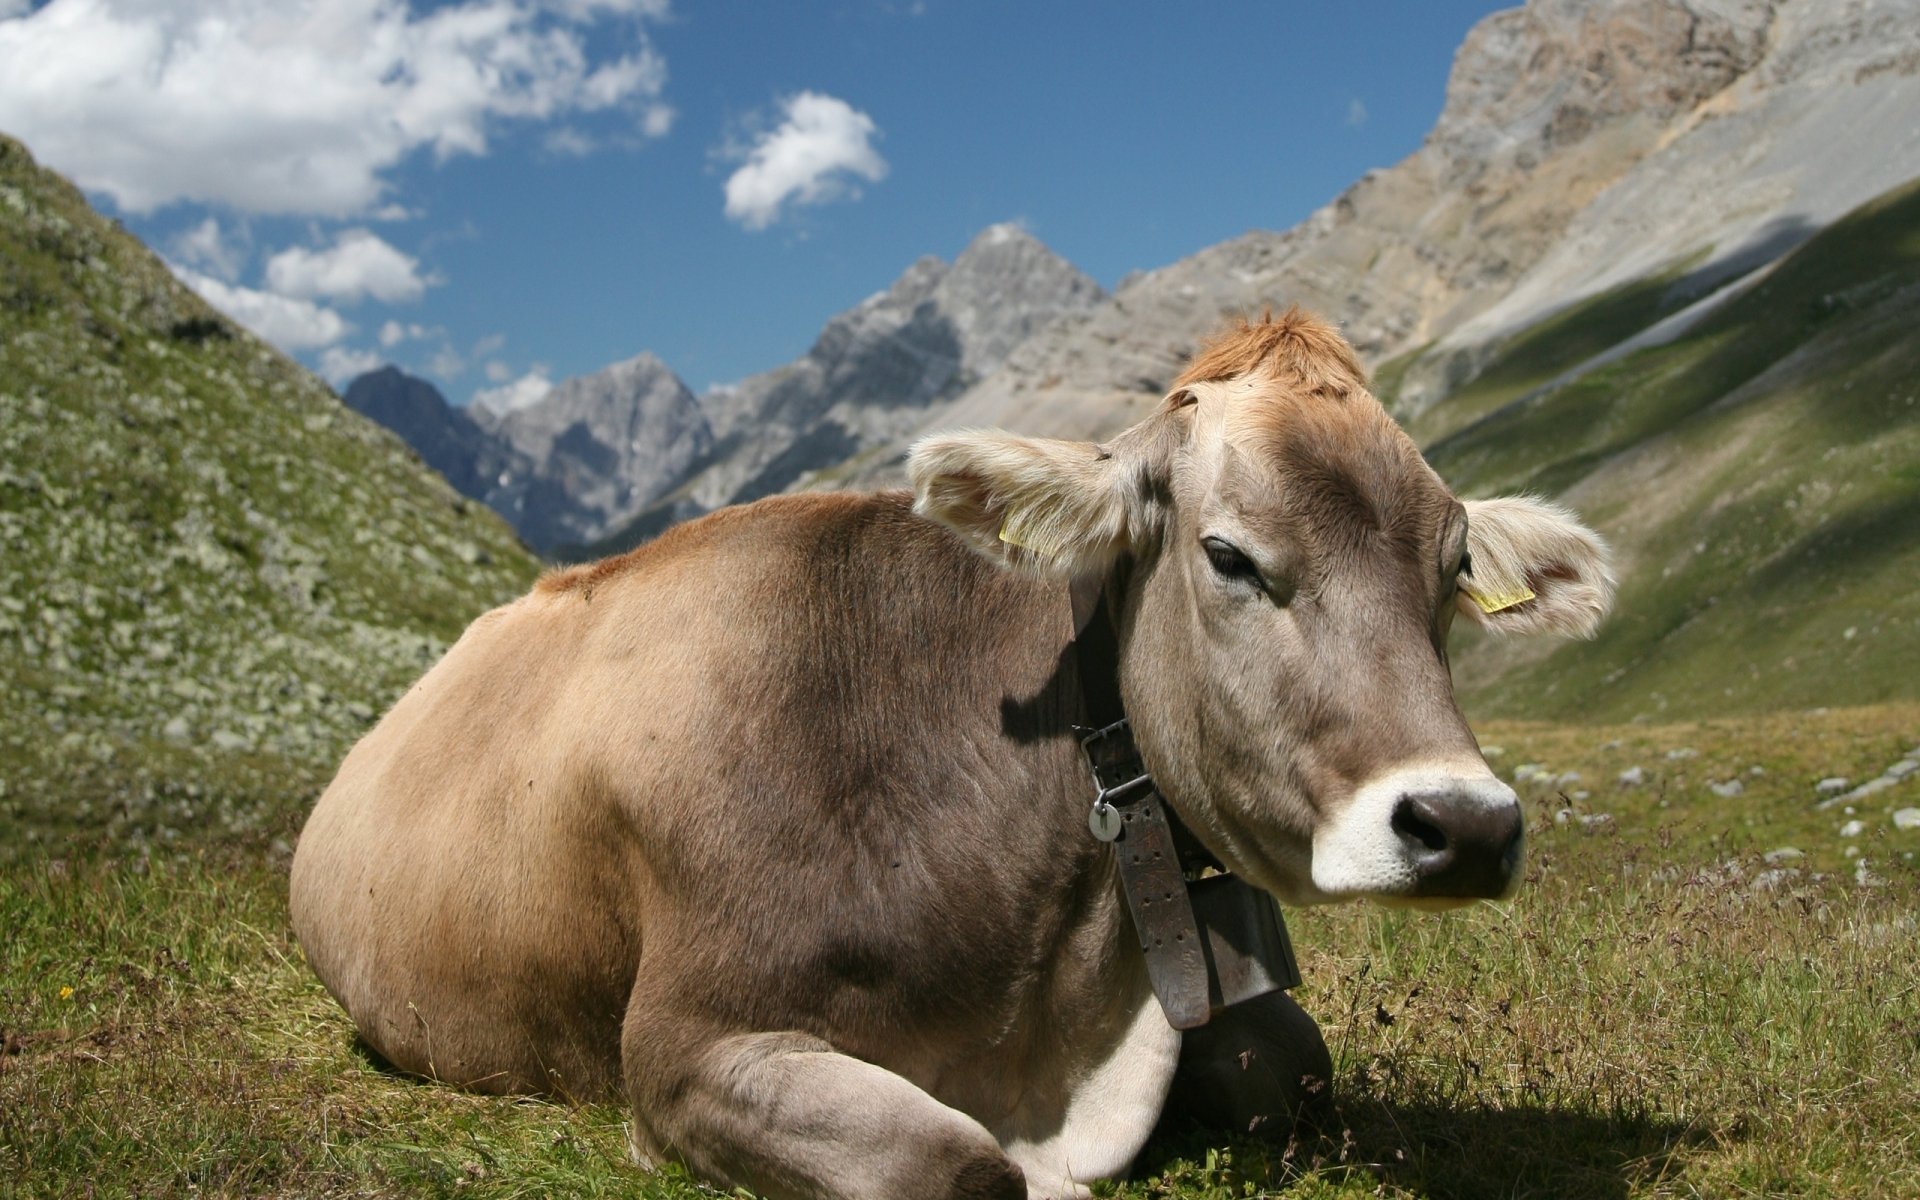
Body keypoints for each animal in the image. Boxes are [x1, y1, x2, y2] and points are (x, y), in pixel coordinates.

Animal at [289, 309, 1613, 1200]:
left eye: (1451, 570)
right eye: (1230, 556)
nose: (1465, 825)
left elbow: (1295, 1065)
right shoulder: (683, 1048)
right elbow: (958, 1165)